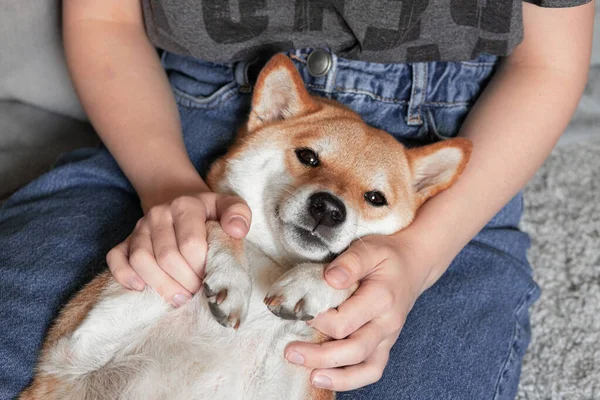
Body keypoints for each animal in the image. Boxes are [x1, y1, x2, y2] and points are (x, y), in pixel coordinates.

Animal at [21, 55, 474, 400]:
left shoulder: (300, 370)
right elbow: (219, 220)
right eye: (308, 157)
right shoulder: (76, 351)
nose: (329, 209)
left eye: (376, 198)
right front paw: (233, 278)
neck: (273, 264)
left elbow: (351, 272)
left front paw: (311, 283)